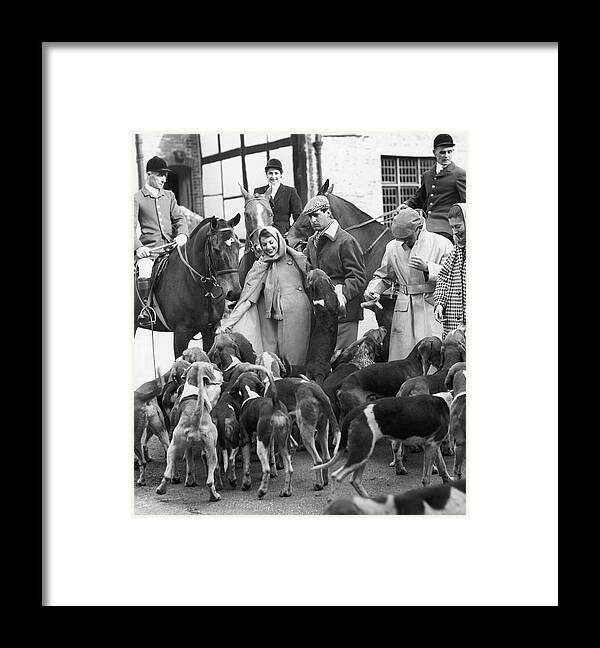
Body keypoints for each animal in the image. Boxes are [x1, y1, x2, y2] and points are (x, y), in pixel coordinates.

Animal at [134, 214, 241, 356]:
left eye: (239, 246)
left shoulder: (209, 331)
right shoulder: (181, 334)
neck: (205, 291)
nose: (235, 292)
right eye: (216, 250)